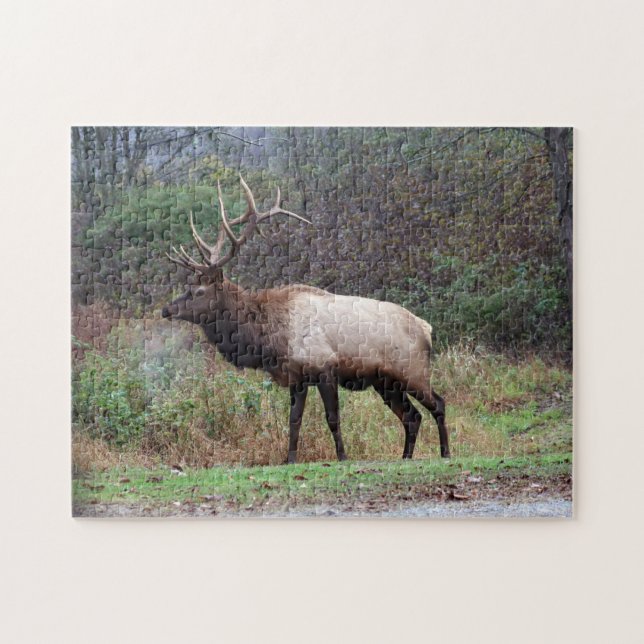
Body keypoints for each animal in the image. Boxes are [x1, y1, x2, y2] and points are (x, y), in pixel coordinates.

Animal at [161, 175, 450, 463]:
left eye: (199, 291)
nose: (166, 309)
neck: (270, 338)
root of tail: (427, 329)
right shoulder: (298, 378)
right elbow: (294, 421)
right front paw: (289, 459)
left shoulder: (324, 367)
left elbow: (332, 418)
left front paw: (342, 457)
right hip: (386, 382)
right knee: (412, 416)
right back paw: (406, 457)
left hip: (412, 371)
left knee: (438, 403)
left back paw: (445, 453)